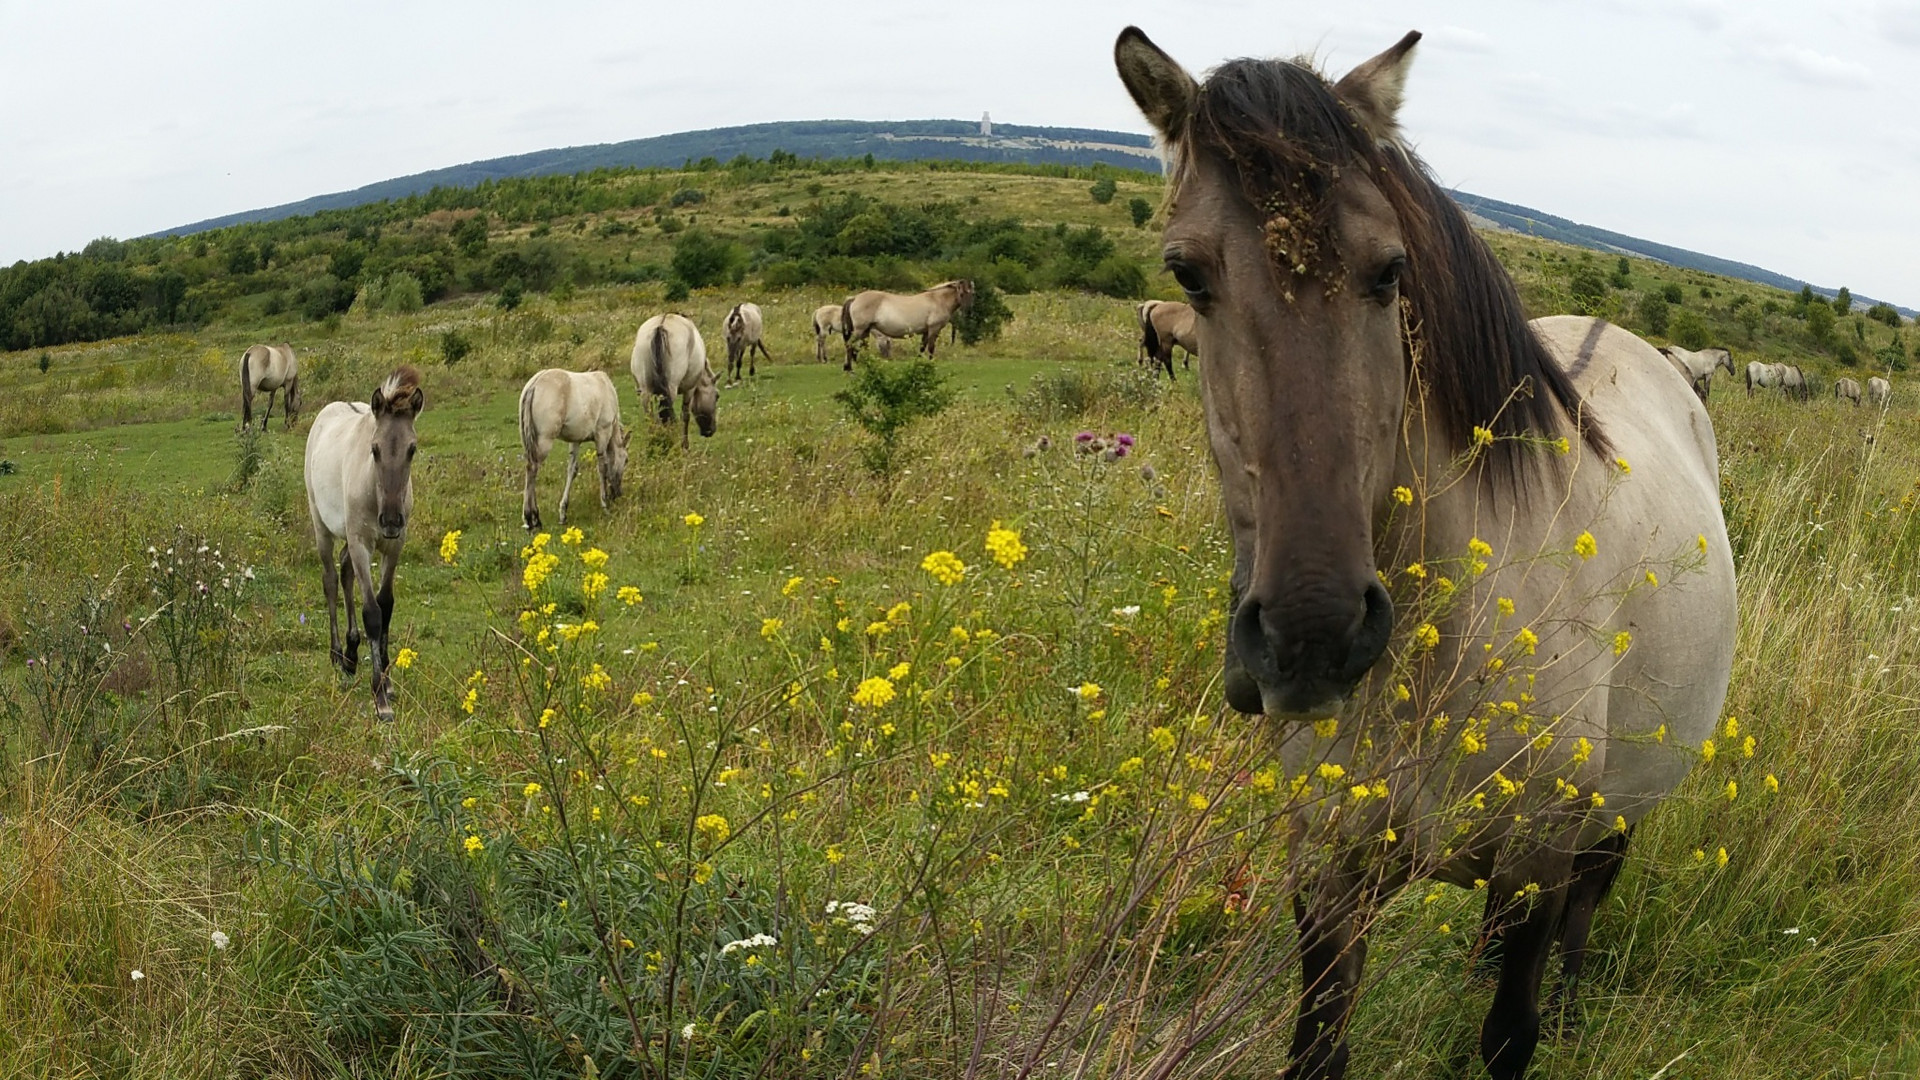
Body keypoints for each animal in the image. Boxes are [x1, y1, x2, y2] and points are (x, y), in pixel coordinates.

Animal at [301, 365, 422, 718]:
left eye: (412, 449)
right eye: (375, 449)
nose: (391, 521)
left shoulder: (393, 546)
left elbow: (387, 606)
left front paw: (389, 683)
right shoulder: (361, 544)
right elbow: (372, 612)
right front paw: (380, 697)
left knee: (344, 572)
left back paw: (352, 655)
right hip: (322, 527)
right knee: (330, 579)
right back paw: (337, 654)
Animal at [518, 367, 629, 526]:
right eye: (626, 460)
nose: (618, 494)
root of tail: (534, 384)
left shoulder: (575, 440)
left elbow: (572, 471)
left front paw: (563, 512)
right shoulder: (602, 434)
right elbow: (603, 468)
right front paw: (605, 504)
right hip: (544, 441)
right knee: (532, 469)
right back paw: (532, 518)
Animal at [629, 311, 721, 445]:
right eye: (717, 396)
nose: (710, 431)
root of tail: (660, 326)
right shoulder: (690, 390)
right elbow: (685, 416)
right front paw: (685, 446)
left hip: (646, 392)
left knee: (650, 418)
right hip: (671, 390)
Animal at [837, 276, 975, 368]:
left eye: (972, 294)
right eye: (961, 293)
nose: (967, 311)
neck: (937, 300)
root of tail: (854, 298)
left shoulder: (926, 331)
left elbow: (922, 347)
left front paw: (919, 362)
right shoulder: (933, 329)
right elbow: (931, 348)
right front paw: (930, 363)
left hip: (865, 330)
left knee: (857, 346)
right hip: (860, 330)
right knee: (849, 345)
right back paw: (848, 367)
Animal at [1121, 27, 1751, 1076]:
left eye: (1389, 270)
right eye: (1186, 274)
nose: (1313, 636)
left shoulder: (1539, 856)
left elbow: (1510, 1033)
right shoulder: (1328, 865)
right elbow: (1320, 1045)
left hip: (1614, 815)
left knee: (1586, 909)